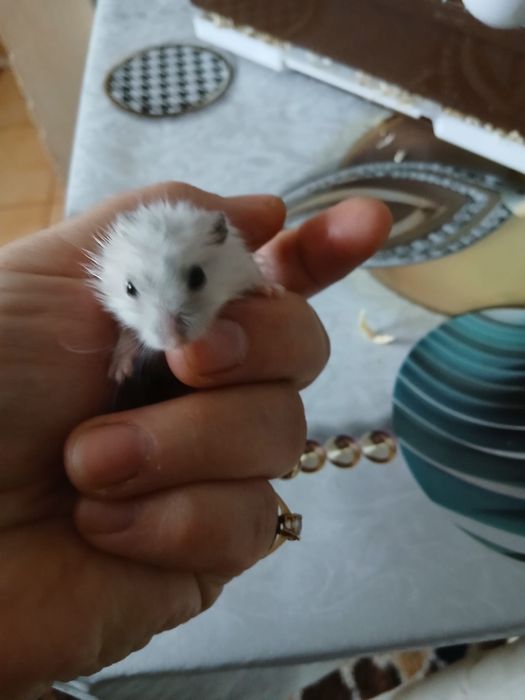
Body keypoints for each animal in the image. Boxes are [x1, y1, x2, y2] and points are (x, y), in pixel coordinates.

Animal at [87, 199, 274, 382]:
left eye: (198, 277)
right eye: (129, 289)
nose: (174, 342)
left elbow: (257, 278)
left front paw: (272, 290)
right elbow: (126, 334)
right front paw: (118, 374)